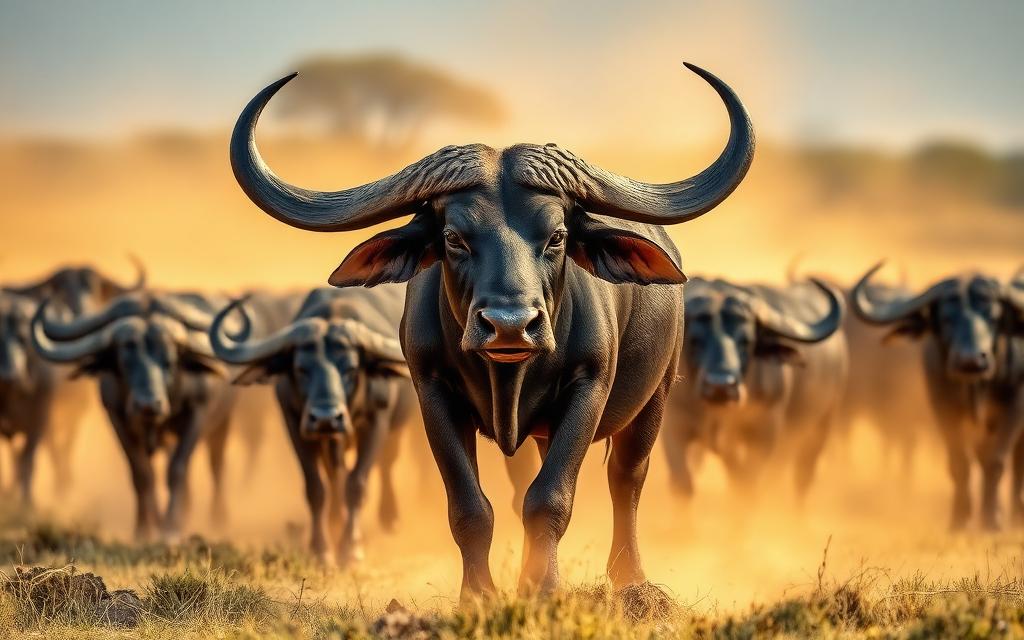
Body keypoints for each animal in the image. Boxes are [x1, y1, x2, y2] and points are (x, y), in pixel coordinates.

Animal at [30, 293, 235, 541]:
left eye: (170, 361)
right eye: (125, 361)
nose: (148, 405)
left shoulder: (197, 412)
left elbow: (177, 469)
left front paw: (171, 528)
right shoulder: (116, 416)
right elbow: (141, 474)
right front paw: (144, 529)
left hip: (222, 424)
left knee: (216, 465)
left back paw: (215, 517)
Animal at [229, 62, 754, 597]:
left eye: (557, 236)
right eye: (453, 237)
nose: (509, 326)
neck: (508, 375)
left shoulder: (589, 388)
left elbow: (552, 497)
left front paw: (544, 590)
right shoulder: (432, 392)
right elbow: (471, 507)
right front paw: (481, 594)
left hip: (656, 397)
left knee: (626, 478)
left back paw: (631, 577)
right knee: (526, 483)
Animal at [663, 277, 846, 498]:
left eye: (746, 341)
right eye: (695, 340)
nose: (720, 385)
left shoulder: (764, 434)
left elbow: (747, 486)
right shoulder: (674, 426)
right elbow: (683, 484)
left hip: (821, 426)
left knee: (802, 477)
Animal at [853, 265, 1024, 530]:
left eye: (994, 318)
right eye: (945, 319)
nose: (971, 360)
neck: (976, 388)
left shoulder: (1014, 406)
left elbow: (996, 461)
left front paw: (992, 521)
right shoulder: (942, 406)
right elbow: (959, 463)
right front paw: (960, 520)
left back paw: (1015, 515)